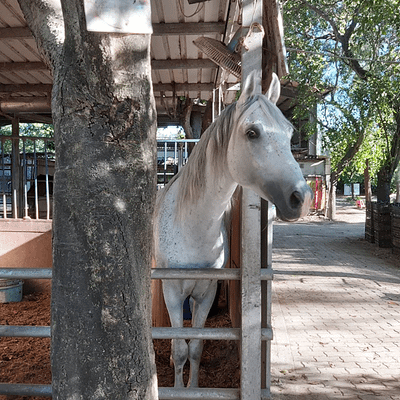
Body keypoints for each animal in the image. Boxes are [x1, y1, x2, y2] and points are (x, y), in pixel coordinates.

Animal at [153, 72, 312, 388]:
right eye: (252, 132)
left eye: (289, 133)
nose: (300, 198)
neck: (191, 227)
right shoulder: (173, 291)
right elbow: (178, 348)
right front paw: (179, 387)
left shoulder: (206, 292)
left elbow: (196, 346)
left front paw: (193, 388)